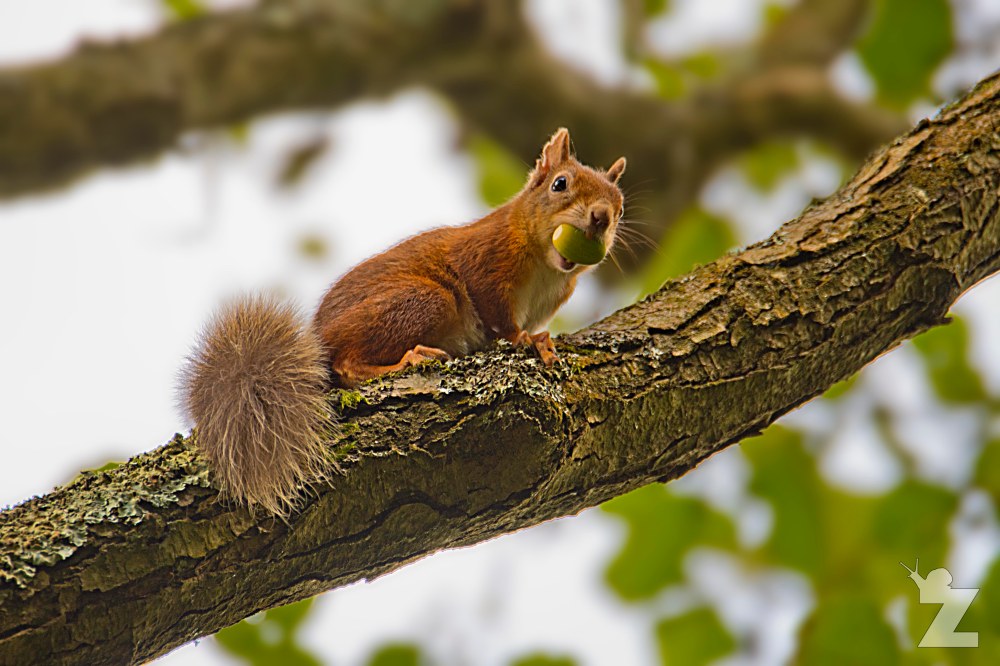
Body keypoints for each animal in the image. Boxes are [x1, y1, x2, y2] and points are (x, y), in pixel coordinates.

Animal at [180, 128, 626, 514]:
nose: (601, 217)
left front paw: (540, 340)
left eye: (620, 205)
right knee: (346, 365)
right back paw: (409, 359)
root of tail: (317, 341)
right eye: (560, 184)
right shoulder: (486, 261)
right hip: (427, 300)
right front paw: (528, 340)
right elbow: (499, 318)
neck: (546, 266)